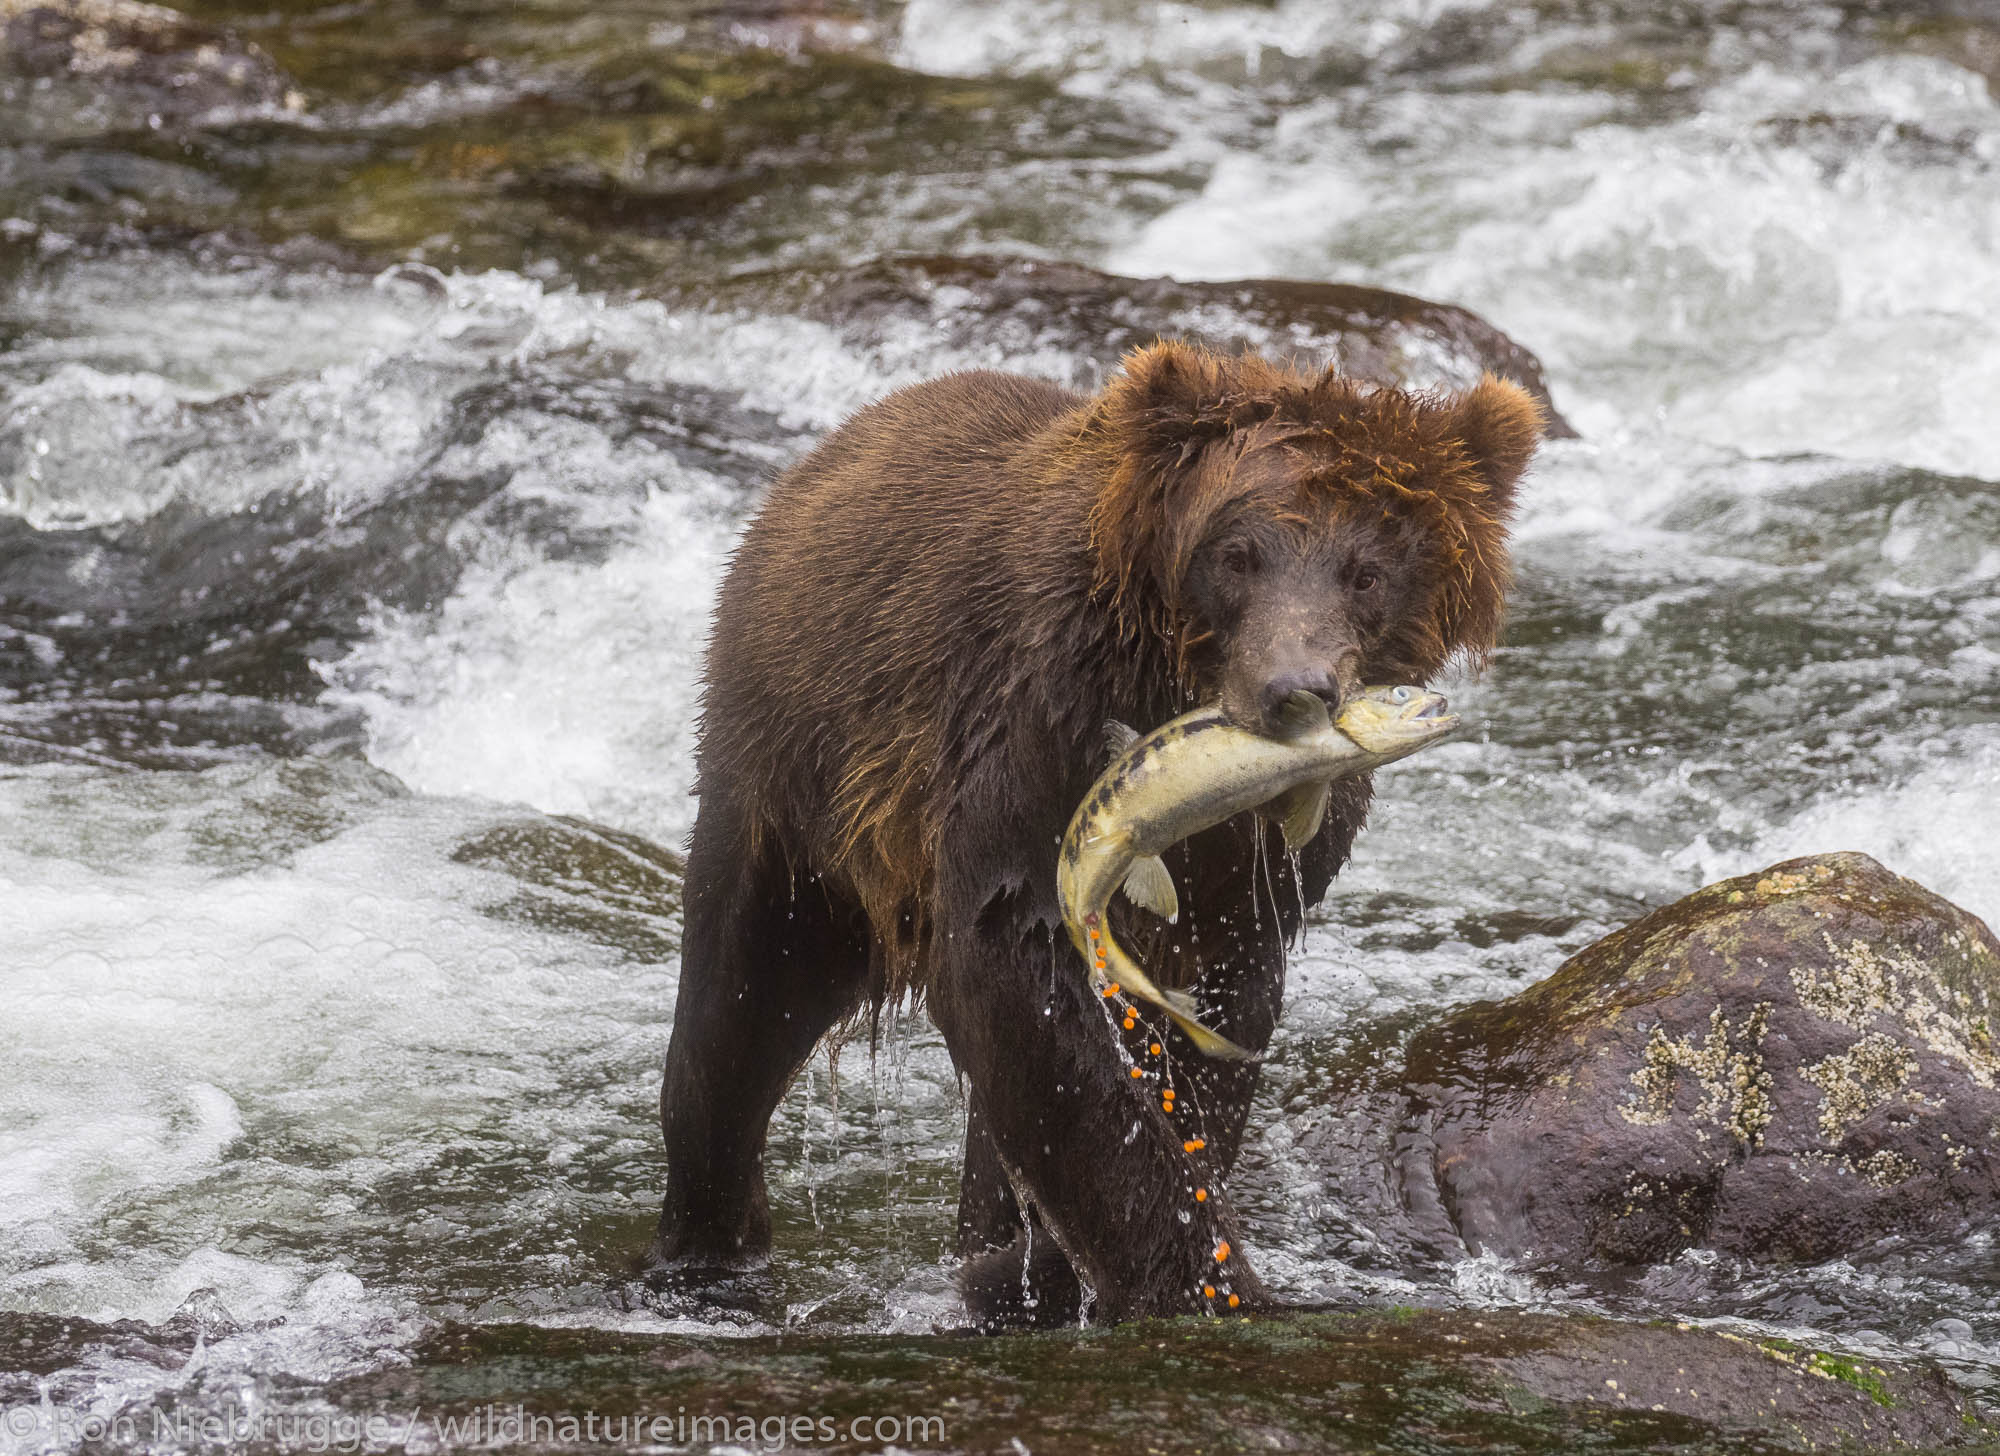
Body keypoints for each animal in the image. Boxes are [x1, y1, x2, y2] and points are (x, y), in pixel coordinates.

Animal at [648, 346, 1536, 1328]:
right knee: (735, 1020)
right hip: (797, 796)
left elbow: (1210, 1022)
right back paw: (709, 1258)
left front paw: (1040, 1264)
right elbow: (1012, 967)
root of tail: (809, 469)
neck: (1169, 677)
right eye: (1238, 553)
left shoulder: (1260, 869)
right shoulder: (1039, 722)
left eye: (1368, 571)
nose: (1294, 690)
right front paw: (1199, 1279)